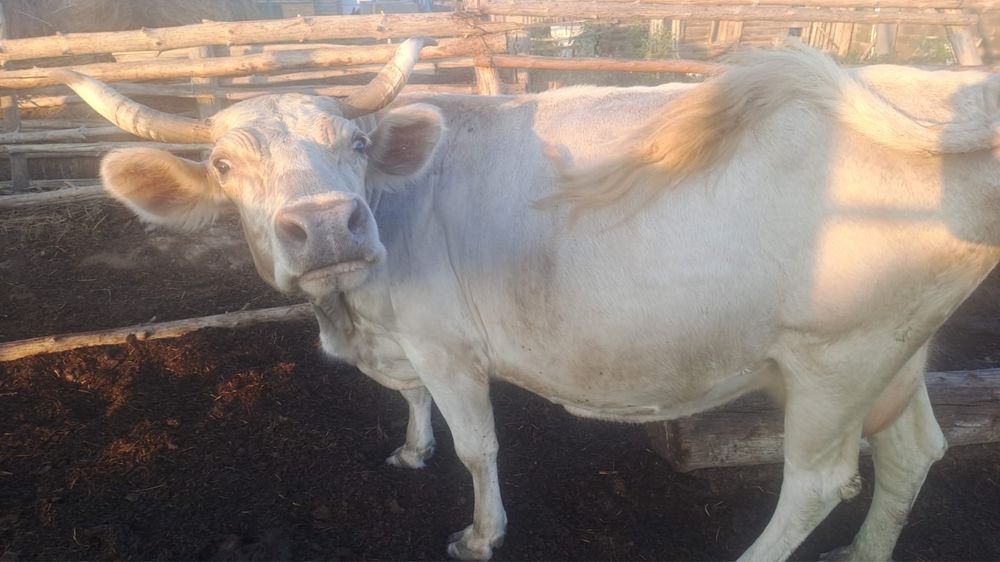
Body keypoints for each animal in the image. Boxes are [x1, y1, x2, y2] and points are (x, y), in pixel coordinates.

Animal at [52, 39, 1000, 561]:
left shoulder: (448, 346)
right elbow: (412, 408)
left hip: (837, 357)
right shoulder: (404, 346)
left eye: (353, 142)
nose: (326, 225)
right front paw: (410, 450)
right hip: (894, 350)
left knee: (818, 481)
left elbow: (478, 448)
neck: (357, 315)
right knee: (915, 449)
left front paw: (480, 534)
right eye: (222, 165)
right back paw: (863, 552)